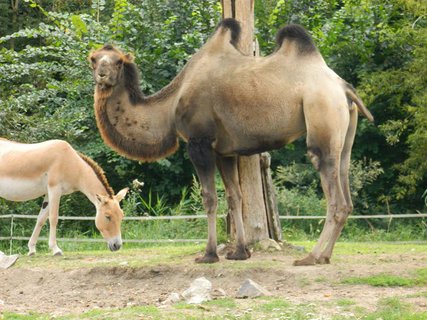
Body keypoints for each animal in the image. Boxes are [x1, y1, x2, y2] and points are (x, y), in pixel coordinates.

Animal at [0, 139, 128, 256]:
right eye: (107, 216)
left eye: (122, 216)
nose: (117, 245)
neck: (71, 162)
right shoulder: (54, 189)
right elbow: (53, 218)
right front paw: (55, 249)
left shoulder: (49, 193)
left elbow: (41, 219)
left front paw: (31, 249)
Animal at [88, 18, 372, 264]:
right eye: (93, 59)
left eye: (118, 62)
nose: (102, 75)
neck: (170, 105)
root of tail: (344, 88)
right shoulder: (225, 151)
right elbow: (235, 196)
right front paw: (240, 252)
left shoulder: (199, 142)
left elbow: (210, 198)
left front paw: (209, 254)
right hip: (343, 131)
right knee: (345, 183)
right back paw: (325, 255)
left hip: (322, 111)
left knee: (333, 193)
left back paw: (311, 257)